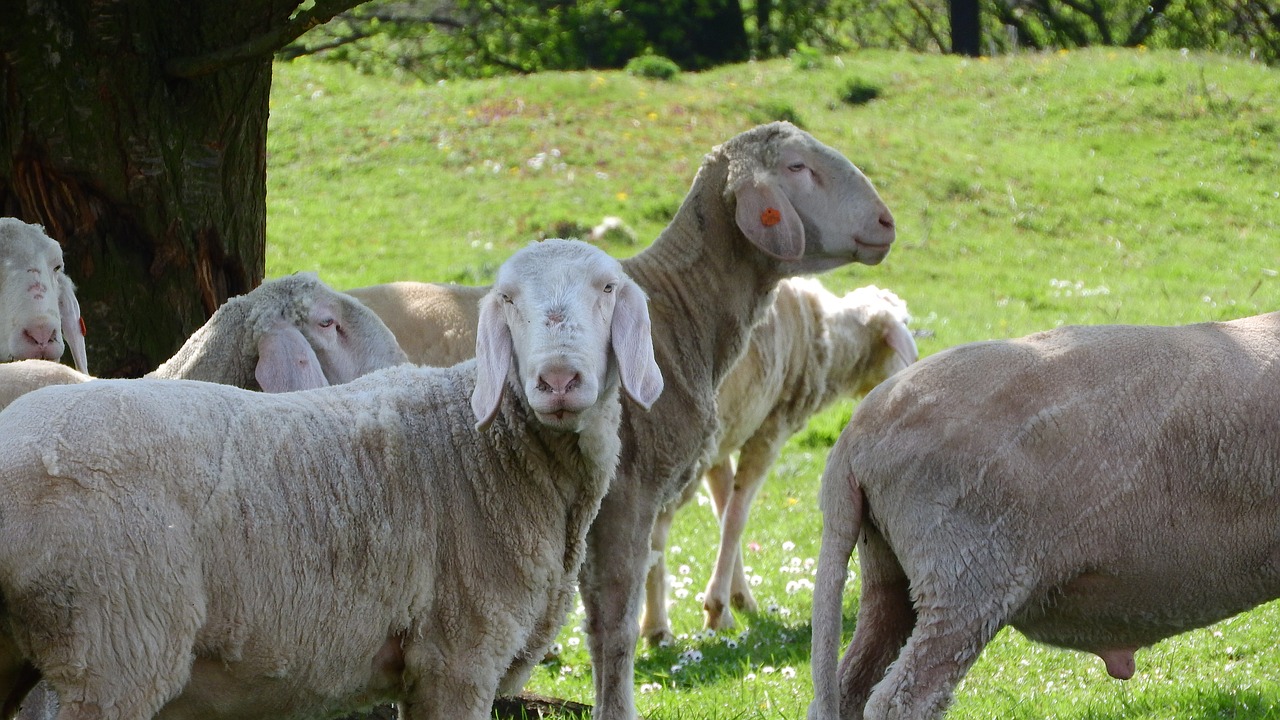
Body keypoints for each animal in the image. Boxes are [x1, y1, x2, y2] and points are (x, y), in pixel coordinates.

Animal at [0, 238, 664, 720]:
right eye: (506, 298)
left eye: (608, 288)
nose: (558, 380)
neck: (484, 445)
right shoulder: (457, 656)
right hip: (114, 650)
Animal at [641, 280, 917, 643]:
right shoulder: (769, 429)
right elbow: (735, 517)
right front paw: (718, 609)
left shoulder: (724, 438)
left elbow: (724, 509)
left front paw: (738, 598)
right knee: (655, 530)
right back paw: (656, 626)